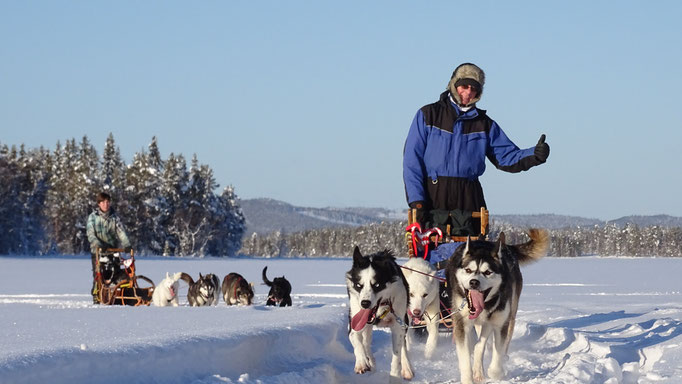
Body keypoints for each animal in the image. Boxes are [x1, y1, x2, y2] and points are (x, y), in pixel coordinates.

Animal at [342, 248, 412, 382]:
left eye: (377, 285)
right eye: (359, 285)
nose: (364, 303)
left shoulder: (398, 326)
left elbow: (397, 355)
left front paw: (395, 377)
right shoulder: (354, 322)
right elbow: (357, 343)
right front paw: (361, 363)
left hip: (404, 321)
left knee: (403, 346)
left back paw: (407, 368)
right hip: (367, 326)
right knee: (366, 343)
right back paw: (370, 362)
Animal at [446, 230, 548, 382]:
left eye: (488, 272)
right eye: (468, 270)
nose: (474, 282)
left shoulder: (499, 323)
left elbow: (495, 355)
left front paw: (496, 371)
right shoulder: (462, 323)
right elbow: (465, 357)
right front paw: (468, 378)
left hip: (508, 316)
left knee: (489, 345)